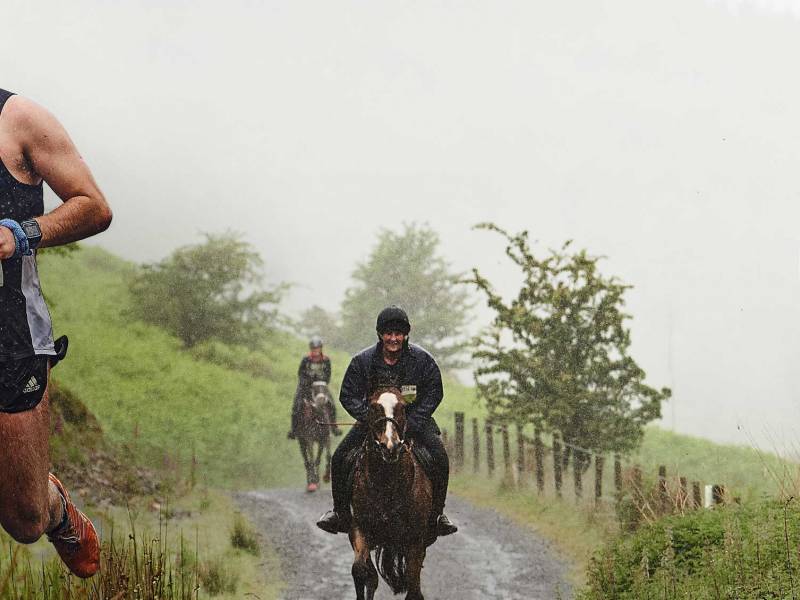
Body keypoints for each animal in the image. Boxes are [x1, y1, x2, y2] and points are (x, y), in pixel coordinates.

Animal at [349, 387, 434, 600]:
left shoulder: (415, 540)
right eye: (373, 407)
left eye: (403, 407)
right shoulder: (359, 528)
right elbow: (361, 570)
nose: (390, 446)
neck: (386, 483)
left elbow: (413, 586)